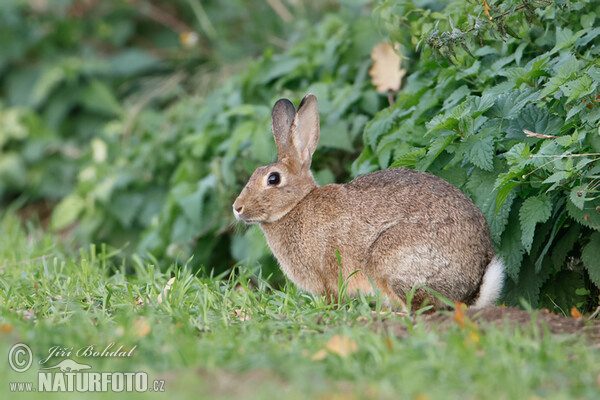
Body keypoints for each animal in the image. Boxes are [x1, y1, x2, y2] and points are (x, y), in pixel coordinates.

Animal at [232, 94, 504, 310]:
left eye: (273, 179)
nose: (237, 208)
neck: (296, 205)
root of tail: (473, 285)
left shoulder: (327, 274)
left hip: (393, 259)